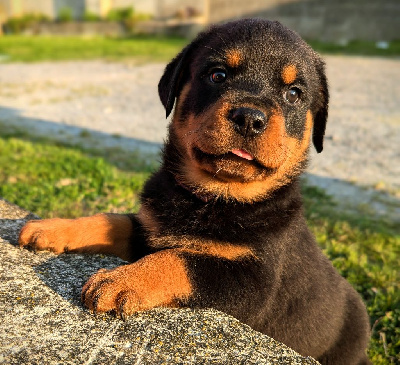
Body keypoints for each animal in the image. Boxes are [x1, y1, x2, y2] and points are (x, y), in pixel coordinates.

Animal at [18, 19, 370, 364]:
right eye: (218, 75)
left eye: (294, 94)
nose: (249, 117)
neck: (213, 197)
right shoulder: (149, 229)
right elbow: (111, 221)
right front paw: (52, 227)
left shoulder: (255, 282)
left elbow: (180, 259)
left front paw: (119, 280)